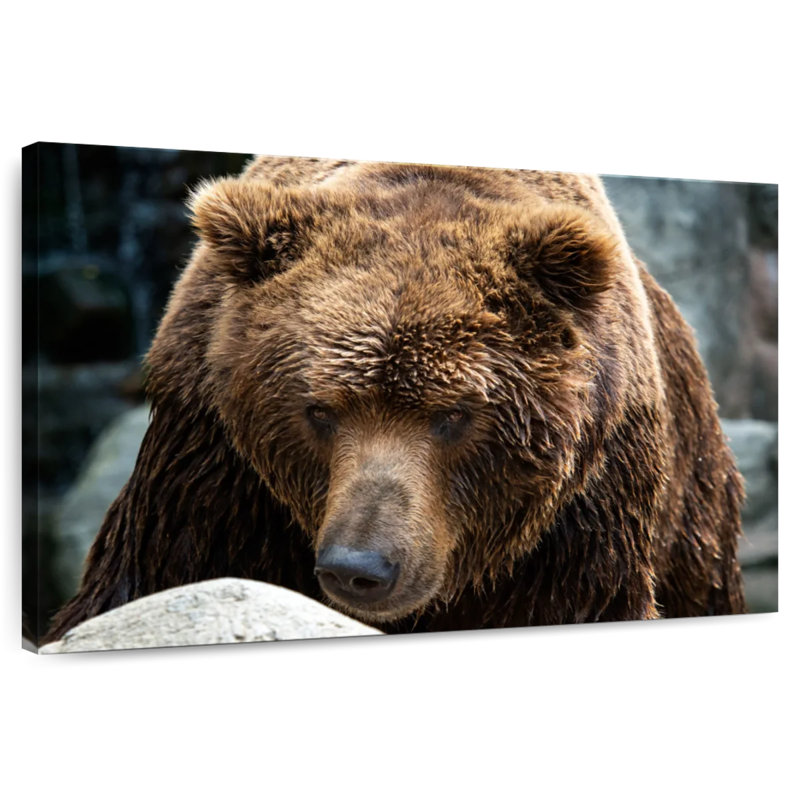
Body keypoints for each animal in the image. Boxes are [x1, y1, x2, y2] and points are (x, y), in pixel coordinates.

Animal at [45, 156, 746, 643]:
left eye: (454, 415)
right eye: (318, 410)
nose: (361, 565)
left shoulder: (580, 513)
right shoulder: (211, 464)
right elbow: (154, 581)